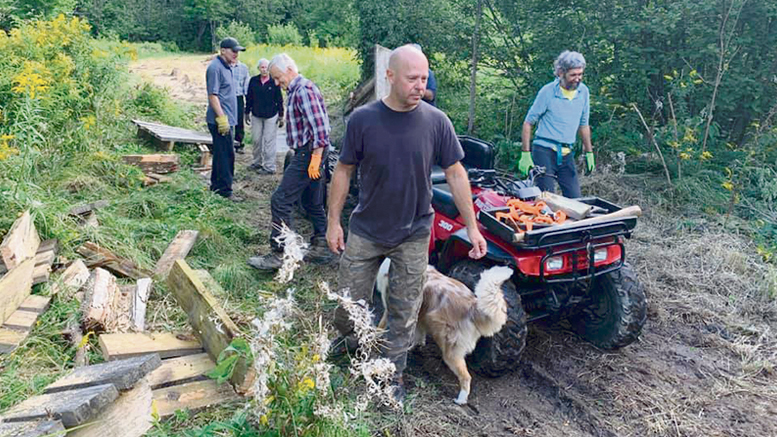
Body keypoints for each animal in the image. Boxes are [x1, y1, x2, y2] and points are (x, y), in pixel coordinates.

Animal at [378, 258, 516, 406]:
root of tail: (472, 307)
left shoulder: (391, 311)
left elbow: (381, 327)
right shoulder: (419, 316)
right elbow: (419, 336)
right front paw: (414, 347)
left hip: (450, 352)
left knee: (466, 377)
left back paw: (461, 399)